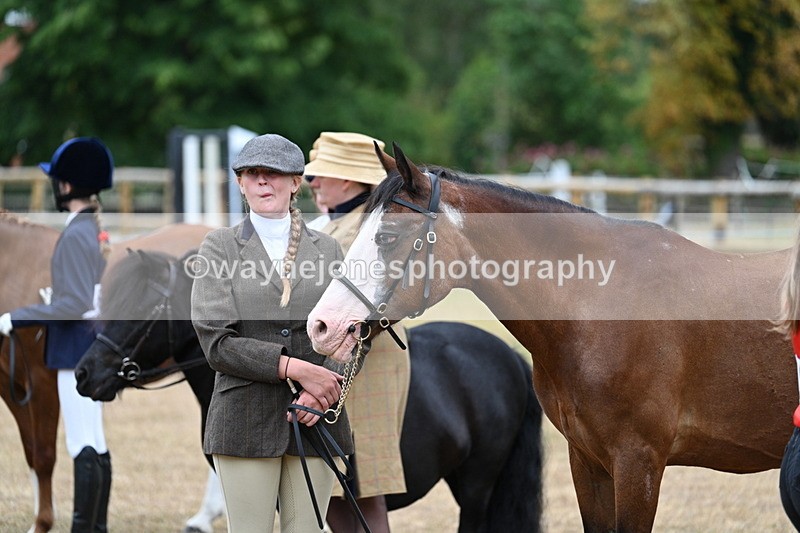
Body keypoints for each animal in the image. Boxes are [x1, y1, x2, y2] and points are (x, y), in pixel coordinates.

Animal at [0, 210, 211, 533]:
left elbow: (45, 455)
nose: (83, 372)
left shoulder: (41, 383)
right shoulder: (11, 387)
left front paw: (42, 523)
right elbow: (32, 453)